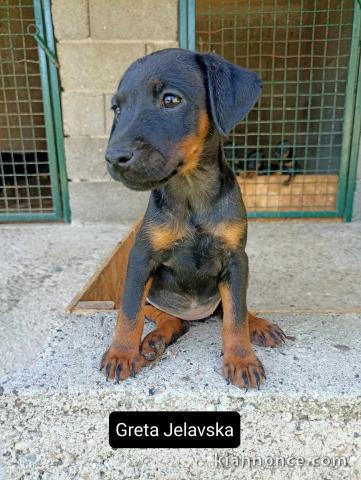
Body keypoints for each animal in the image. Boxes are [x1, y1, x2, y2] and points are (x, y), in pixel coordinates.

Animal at [100, 47, 286, 388]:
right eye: (117, 109)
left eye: (171, 100)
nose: (114, 158)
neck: (191, 190)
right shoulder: (141, 258)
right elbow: (129, 312)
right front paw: (121, 353)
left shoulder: (236, 260)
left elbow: (236, 316)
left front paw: (242, 359)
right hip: (155, 298)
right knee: (170, 320)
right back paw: (154, 341)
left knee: (232, 310)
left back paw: (258, 325)